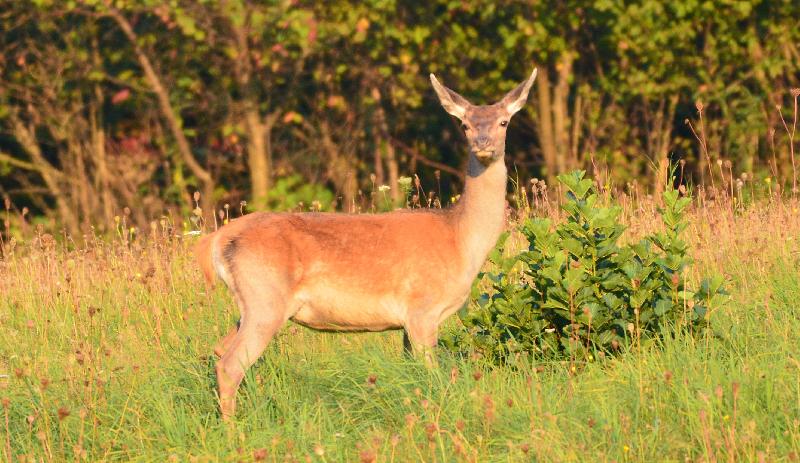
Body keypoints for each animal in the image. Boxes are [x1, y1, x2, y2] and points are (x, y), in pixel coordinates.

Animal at [195, 69, 536, 420]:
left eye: (503, 122)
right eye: (465, 125)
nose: (483, 144)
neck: (460, 239)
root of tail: (217, 239)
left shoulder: (408, 323)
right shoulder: (422, 309)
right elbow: (431, 375)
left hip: (252, 302)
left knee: (219, 349)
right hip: (265, 296)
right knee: (230, 364)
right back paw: (232, 427)